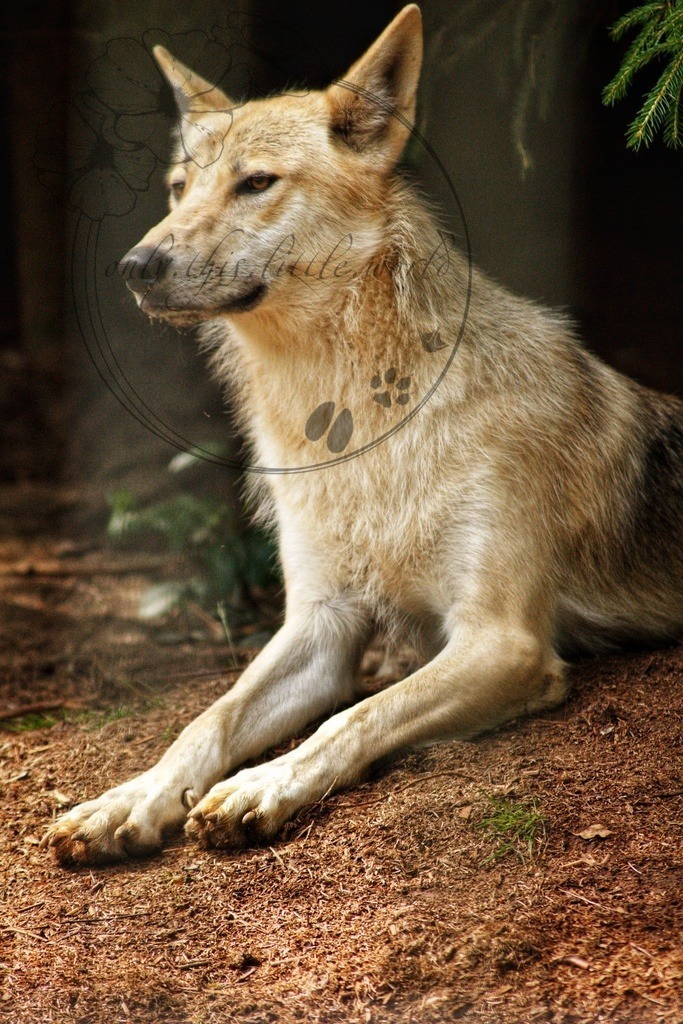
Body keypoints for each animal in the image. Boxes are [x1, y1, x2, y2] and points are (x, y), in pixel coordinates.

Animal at [43, 5, 682, 865]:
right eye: (179, 190)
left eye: (255, 183)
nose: (137, 265)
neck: (349, 425)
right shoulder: (319, 624)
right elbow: (206, 720)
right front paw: (128, 801)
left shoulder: (502, 641)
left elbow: (354, 716)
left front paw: (259, 786)